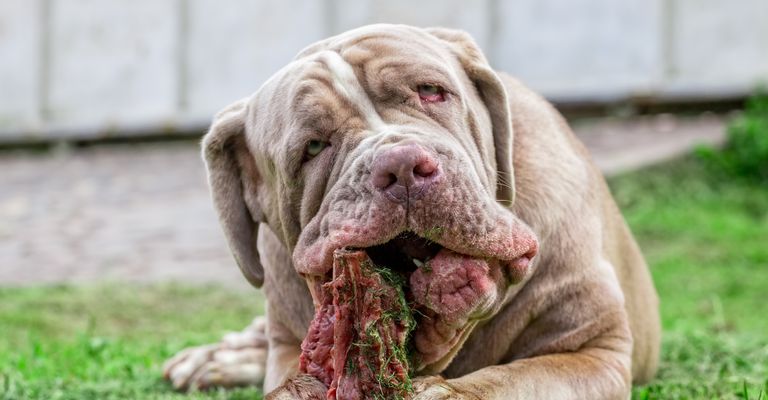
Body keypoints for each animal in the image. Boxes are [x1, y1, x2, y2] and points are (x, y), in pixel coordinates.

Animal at [162, 25, 660, 400]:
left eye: (431, 92)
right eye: (313, 147)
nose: (400, 164)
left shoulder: (592, 351)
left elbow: (511, 379)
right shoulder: (290, 346)